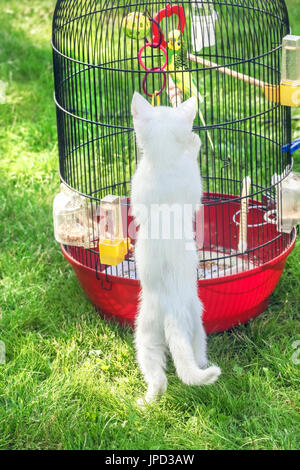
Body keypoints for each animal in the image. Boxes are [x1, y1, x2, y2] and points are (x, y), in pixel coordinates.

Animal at [131, 92, 220, 404]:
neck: (163, 162)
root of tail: (172, 315)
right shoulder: (192, 184)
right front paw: (194, 143)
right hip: (197, 325)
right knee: (196, 358)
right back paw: (203, 370)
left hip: (145, 335)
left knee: (157, 375)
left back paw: (146, 401)